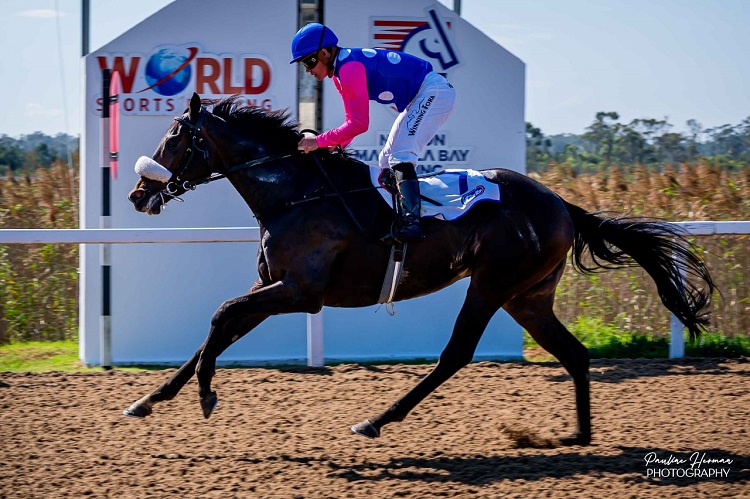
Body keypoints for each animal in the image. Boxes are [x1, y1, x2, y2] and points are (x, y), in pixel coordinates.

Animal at [125, 92, 715, 446]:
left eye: (174, 137)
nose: (137, 193)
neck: (297, 194)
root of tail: (561, 204)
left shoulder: (300, 291)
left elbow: (220, 316)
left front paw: (205, 394)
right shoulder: (272, 284)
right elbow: (218, 328)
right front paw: (150, 400)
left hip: (492, 284)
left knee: (456, 354)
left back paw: (376, 420)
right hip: (528, 296)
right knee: (574, 353)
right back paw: (578, 438)